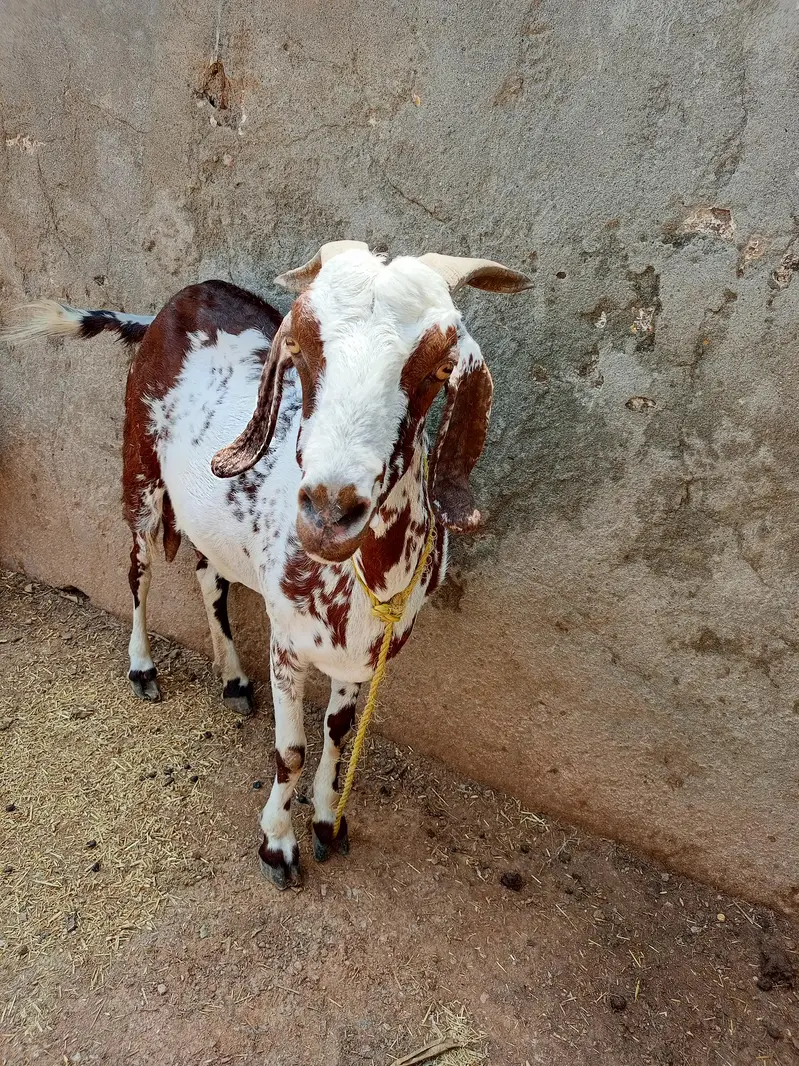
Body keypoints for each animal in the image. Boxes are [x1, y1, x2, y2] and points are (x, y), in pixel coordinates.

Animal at [6, 243, 531, 889]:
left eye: (438, 370)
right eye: (300, 349)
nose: (329, 511)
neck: (365, 581)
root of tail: (171, 305)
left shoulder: (358, 656)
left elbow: (338, 736)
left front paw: (328, 822)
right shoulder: (288, 644)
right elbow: (290, 752)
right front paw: (278, 844)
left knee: (208, 576)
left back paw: (232, 677)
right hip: (140, 472)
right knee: (138, 572)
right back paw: (143, 667)